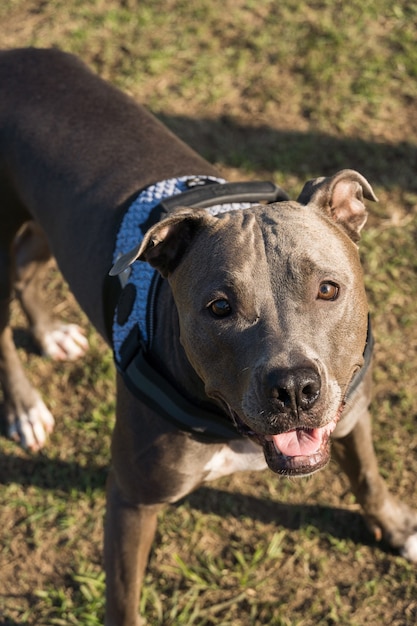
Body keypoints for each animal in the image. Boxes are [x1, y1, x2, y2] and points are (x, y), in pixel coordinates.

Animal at [0, 48, 416, 624]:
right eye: (220, 307)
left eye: (329, 289)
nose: (295, 389)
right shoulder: (130, 499)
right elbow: (123, 599)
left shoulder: (351, 412)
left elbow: (369, 476)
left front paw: (396, 526)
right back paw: (24, 406)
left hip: (49, 228)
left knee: (24, 266)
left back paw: (47, 333)